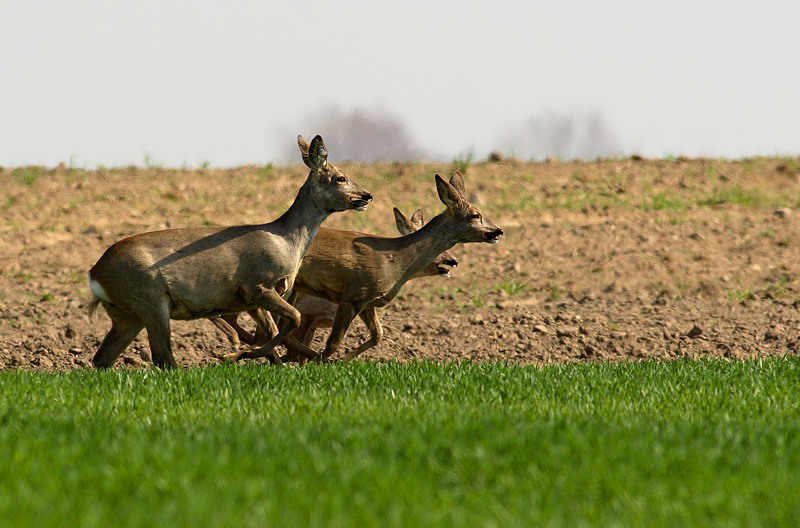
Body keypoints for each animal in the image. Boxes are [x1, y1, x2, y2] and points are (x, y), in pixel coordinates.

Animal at [86, 134, 374, 370]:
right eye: (341, 178)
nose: (367, 196)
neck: (287, 241)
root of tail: (94, 274)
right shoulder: (258, 284)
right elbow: (293, 319)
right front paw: (235, 356)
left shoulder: (252, 299)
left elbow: (273, 334)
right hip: (150, 299)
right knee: (163, 358)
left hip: (126, 314)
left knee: (101, 359)